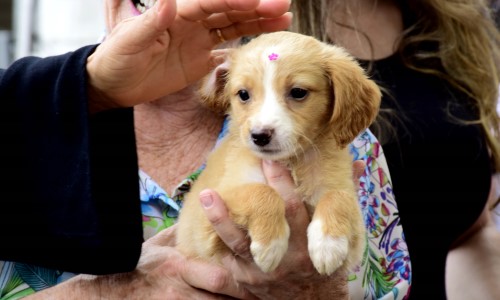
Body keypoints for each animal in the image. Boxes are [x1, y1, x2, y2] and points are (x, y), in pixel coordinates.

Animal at [177, 31, 382, 276]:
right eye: (243, 94)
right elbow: (261, 191)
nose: (259, 136)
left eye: (298, 92)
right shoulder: (206, 219)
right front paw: (270, 245)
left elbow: (338, 196)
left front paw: (327, 244)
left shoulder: (356, 233)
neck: (290, 163)